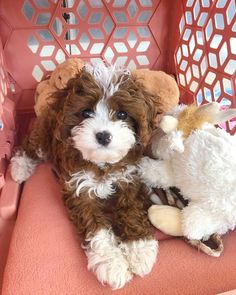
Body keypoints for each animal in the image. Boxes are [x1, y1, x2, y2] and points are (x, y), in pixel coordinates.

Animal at [11, 63, 162, 290]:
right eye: (86, 112)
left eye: (122, 114)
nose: (103, 136)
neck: (102, 163)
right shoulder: (79, 189)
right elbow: (96, 228)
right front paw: (112, 264)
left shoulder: (129, 180)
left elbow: (132, 211)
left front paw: (140, 249)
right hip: (44, 134)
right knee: (30, 145)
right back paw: (19, 167)